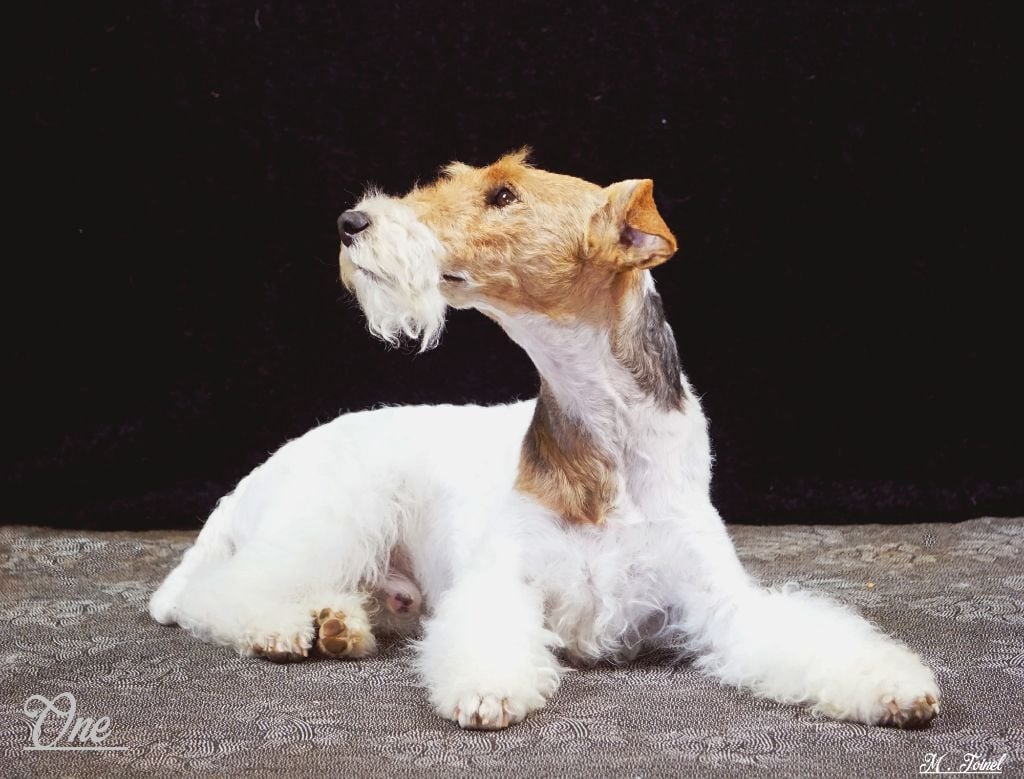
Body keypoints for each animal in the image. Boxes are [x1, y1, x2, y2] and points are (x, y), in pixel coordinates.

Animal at [150, 150, 941, 730]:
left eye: (504, 195)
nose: (352, 223)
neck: (608, 448)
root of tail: (251, 479)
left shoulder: (723, 602)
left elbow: (810, 634)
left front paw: (897, 688)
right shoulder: (504, 580)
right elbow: (491, 634)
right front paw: (486, 691)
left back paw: (339, 622)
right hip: (339, 514)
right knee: (221, 592)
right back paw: (288, 627)